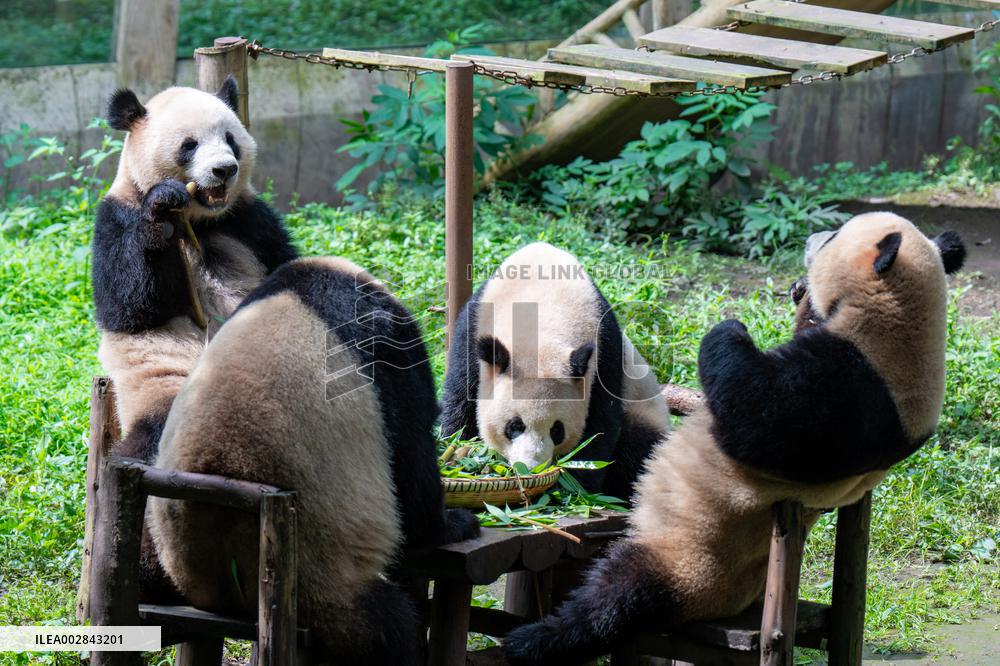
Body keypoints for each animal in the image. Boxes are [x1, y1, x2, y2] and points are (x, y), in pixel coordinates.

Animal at [440, 242, 670, 501]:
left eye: (557, 430)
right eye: (514, 426)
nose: (531, 468)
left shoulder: (604, 355)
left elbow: (599, 428)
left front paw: (574, 488)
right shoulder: (474, 327)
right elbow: (461, 398)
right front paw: (456, 448)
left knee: (640, 449)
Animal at [503, 213, 966, 665]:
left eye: (835, 235)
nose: (811, 238)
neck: (904, 321)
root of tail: (734, 604)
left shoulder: (853, 390)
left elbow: (755, 419)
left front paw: (731, 327)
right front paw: (801, 295)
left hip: (688, 563)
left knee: (614, 602)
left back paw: (532, 640)